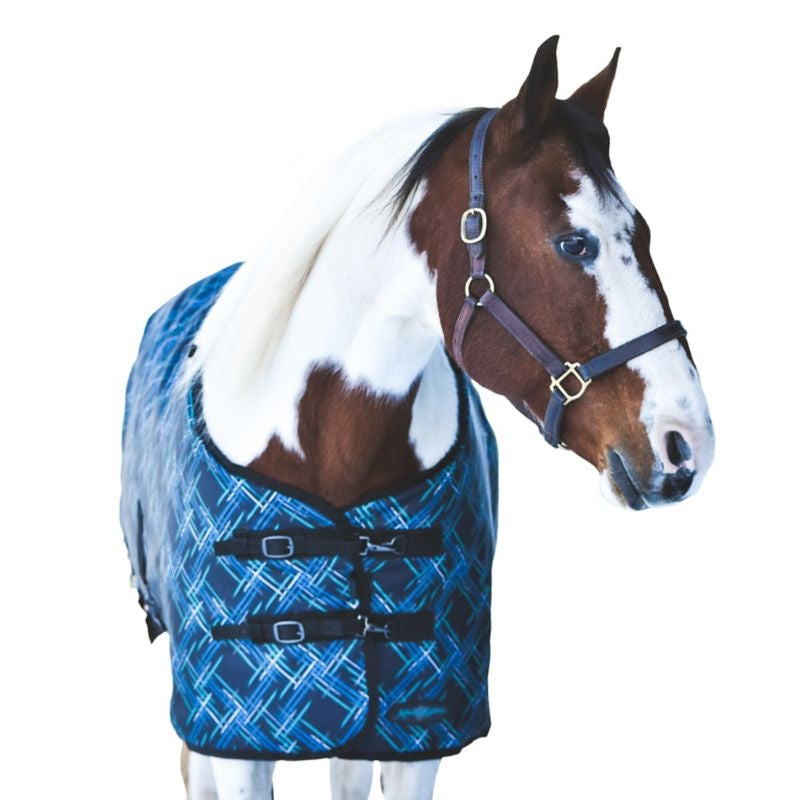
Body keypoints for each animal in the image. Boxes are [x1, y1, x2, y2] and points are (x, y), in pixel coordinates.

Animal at [120, 34, 714, 800]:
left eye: (641, 231)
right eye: (572, 242)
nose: (686, 443)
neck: (330, 454)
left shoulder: (414, 731)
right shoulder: (234, 736)